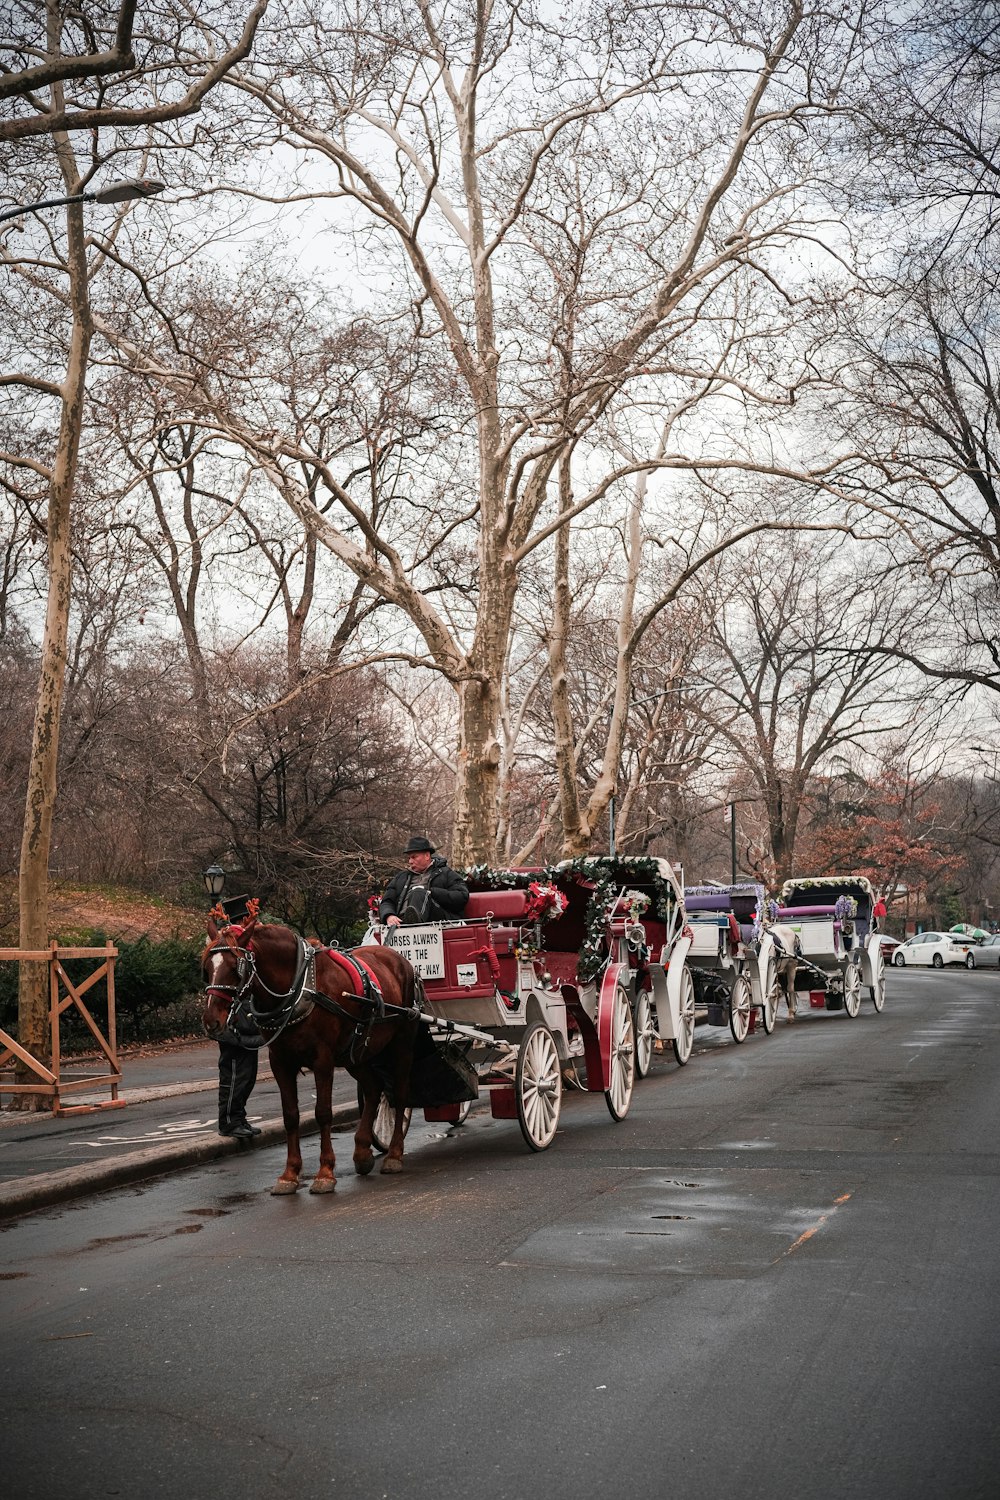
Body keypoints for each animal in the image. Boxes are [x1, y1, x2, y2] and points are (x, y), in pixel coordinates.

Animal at [200, 906, 419, 1200]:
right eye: (207, 969)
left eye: (236, 968)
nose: (212, 1020)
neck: (299, 988)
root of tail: (397, 958)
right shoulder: (280, 1062)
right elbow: (290, 1115)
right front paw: (290, 1174)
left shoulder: (322, 1060)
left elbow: (322, 1112)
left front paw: (325, 1172)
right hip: (357, 1052)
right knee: (374, 1089)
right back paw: (362, 1151)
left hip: (402, 1044)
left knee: (401, 1093)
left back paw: (394, 1154)